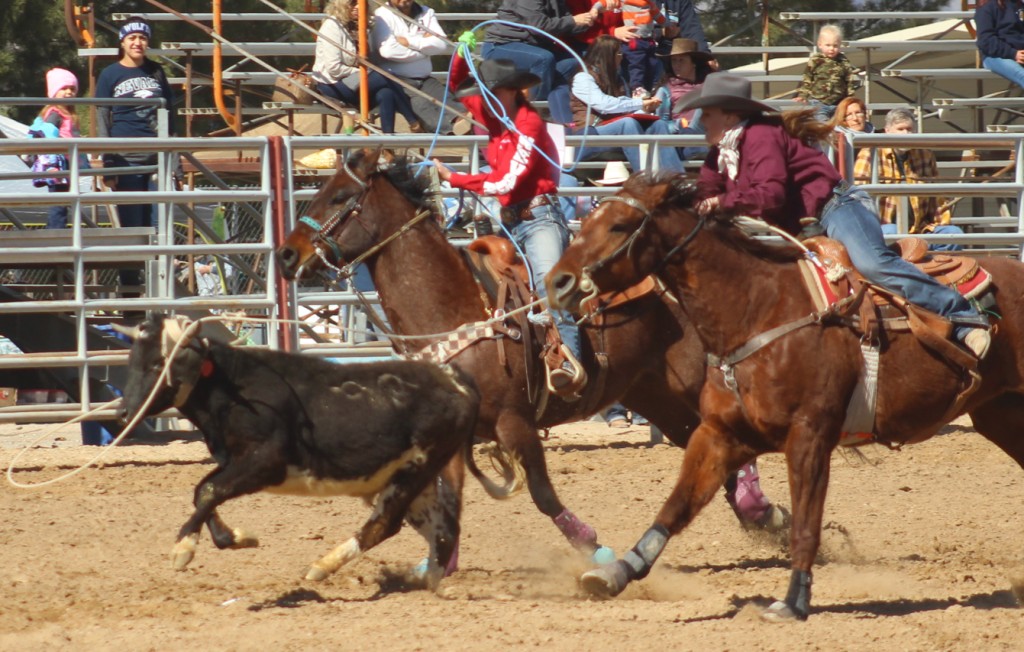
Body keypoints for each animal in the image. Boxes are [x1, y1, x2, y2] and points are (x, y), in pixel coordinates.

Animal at [117, 313, 484, 589]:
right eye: (132, 360)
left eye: (158, 363)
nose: (124, 412)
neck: (234, 388)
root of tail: (454, 379)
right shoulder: (234, 461)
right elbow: (201, 492)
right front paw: (236, 537)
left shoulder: (267, 462)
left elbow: (209, 491)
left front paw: (183, 549)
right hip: (416, 478)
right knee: (444, 530)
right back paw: (423, 581)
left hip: (415, 471)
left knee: (385, 525)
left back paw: (321, 567)